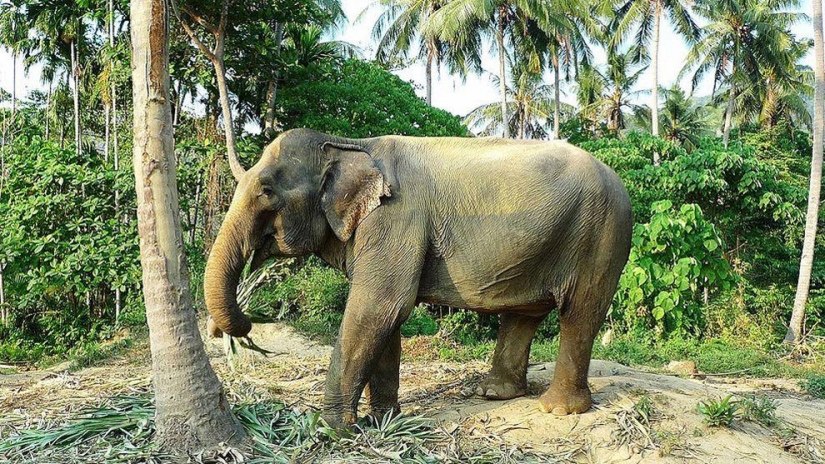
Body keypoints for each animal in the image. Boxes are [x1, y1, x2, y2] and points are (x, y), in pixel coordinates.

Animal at [204, 128, 632, 427]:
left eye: (266, 191)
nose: (243, 325)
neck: (350, 144)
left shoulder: (395, 220)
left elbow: (380, 307)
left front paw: (328, 429)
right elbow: (384, 318)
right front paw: (382, 420)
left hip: (600, 236)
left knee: (579, 315)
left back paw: (559, 410)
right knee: (524, 315)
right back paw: (493, 393)